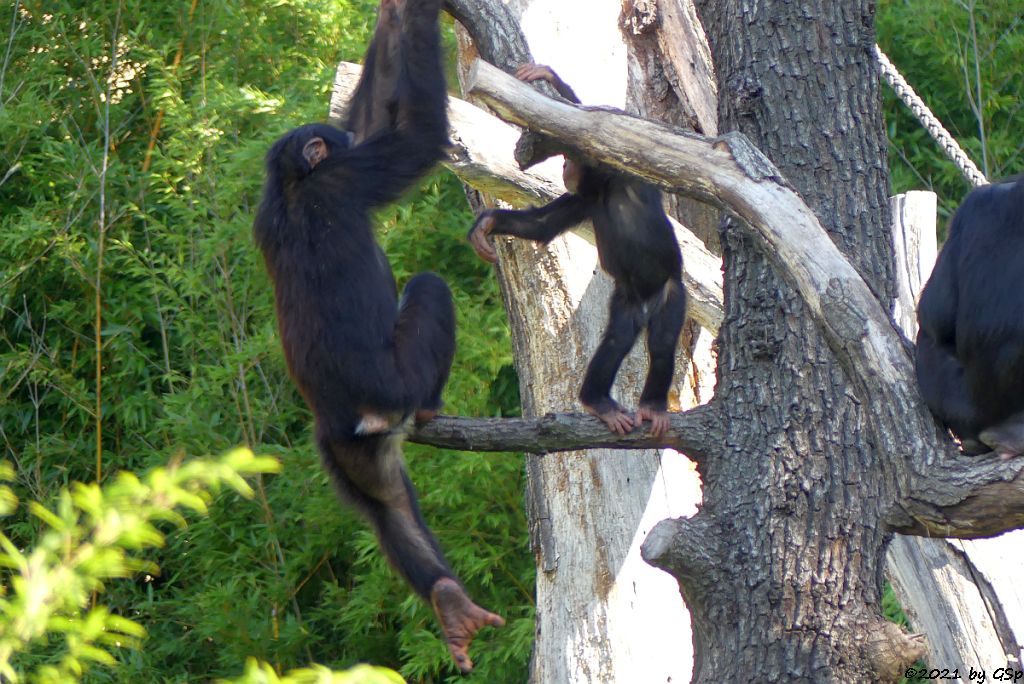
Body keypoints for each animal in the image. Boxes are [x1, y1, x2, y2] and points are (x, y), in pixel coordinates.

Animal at [249, 0, 501, 671]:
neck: (291, 185)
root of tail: (354, 417)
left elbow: (370, 117)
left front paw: (391, 13)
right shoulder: (348, 174)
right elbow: (414, 135)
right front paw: (417, 10)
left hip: (344, 452)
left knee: (387, 508)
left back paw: (449, 602)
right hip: (396, 384)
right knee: (432, 287)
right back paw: (434, 405)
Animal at [468, 65, 684, 438]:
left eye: (570, 159)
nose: (565, 166)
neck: (606, 188)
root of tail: (644, 302)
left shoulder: (617, 173)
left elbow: (598, 133)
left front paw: (548, 78)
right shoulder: (581, 200)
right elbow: (540, 224)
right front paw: (487, 224)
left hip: (670, 290)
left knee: (663, 341)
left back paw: (653, 407)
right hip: (626, 300)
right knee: (616, 340)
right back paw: (598, 402)